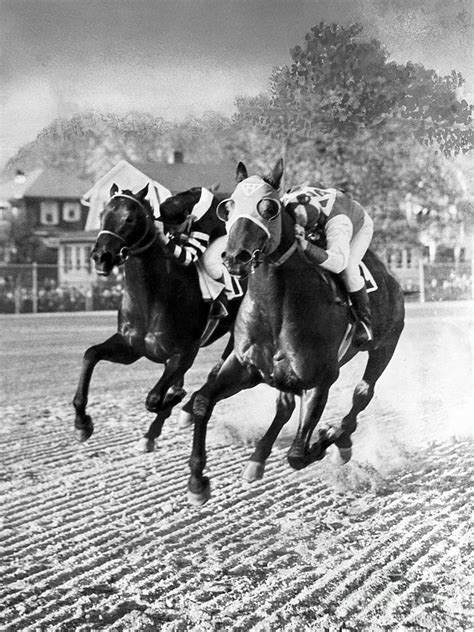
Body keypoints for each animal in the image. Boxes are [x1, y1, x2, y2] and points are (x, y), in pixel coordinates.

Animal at [73, 183, 241, 450]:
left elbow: (154, 398)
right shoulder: (131, 347)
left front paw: (176, 402)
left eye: (130, 218)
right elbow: (91, 355)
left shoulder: (183, 354)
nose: (101, 256)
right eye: (103, 216)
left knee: (217, 369)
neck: (152, 298)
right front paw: (82, 424)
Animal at [187, 160, 406, 506]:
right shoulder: (244, 367)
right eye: (229, 208)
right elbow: (201, 401)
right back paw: (257, 460)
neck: (277, 307)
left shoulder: (320, 380)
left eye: (268, 209)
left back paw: (341, 441)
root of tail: (393, 280)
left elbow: (297, 455)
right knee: (284, 406)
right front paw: (197, 483)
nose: (234, 257)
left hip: (384, 347)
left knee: (362, 393)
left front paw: (330, 436)